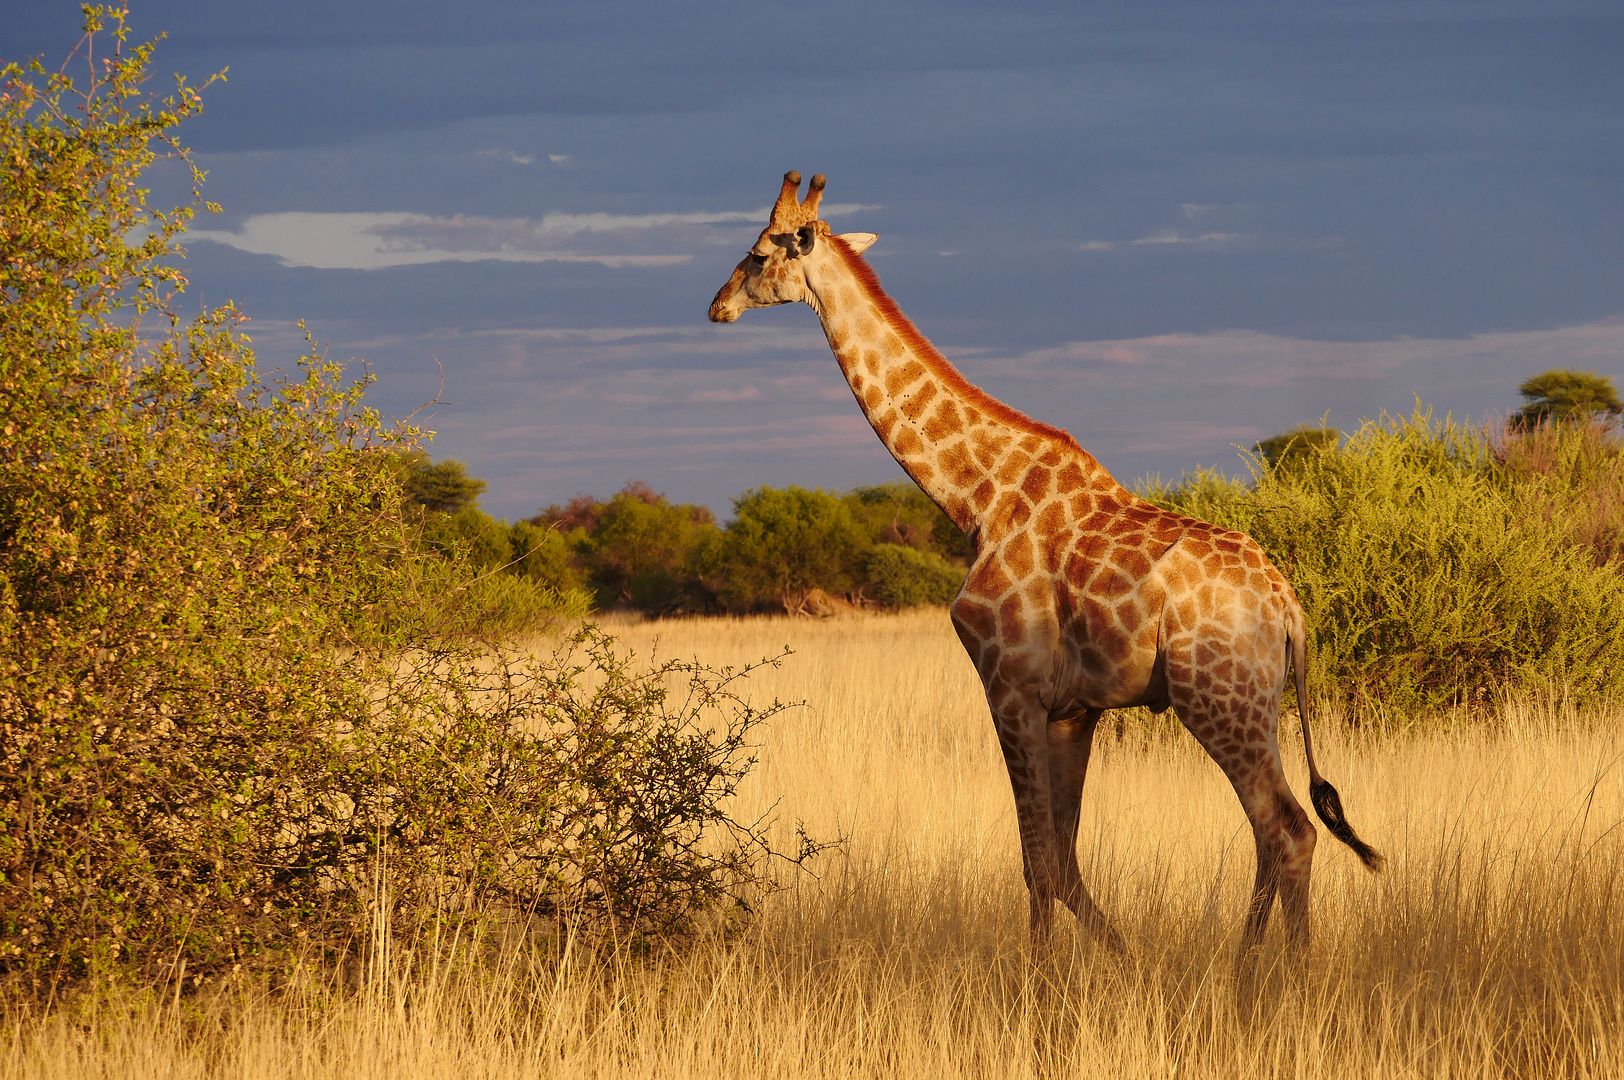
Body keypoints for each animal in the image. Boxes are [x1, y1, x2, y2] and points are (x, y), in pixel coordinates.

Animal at [711, 172, 1383, 954]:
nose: (717, 305)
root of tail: (1288, 608)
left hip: (1217, 699)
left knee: (1288, 830)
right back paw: (1245, 967)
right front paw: (1117, 963)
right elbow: (1063, 861)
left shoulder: (1011, 687)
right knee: (1275, 831)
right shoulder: (1074, 709)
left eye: (759, 253)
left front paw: (1043, 981)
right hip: (1257, 703)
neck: (975, 497)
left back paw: (1279, 974)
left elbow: (1035, 860)